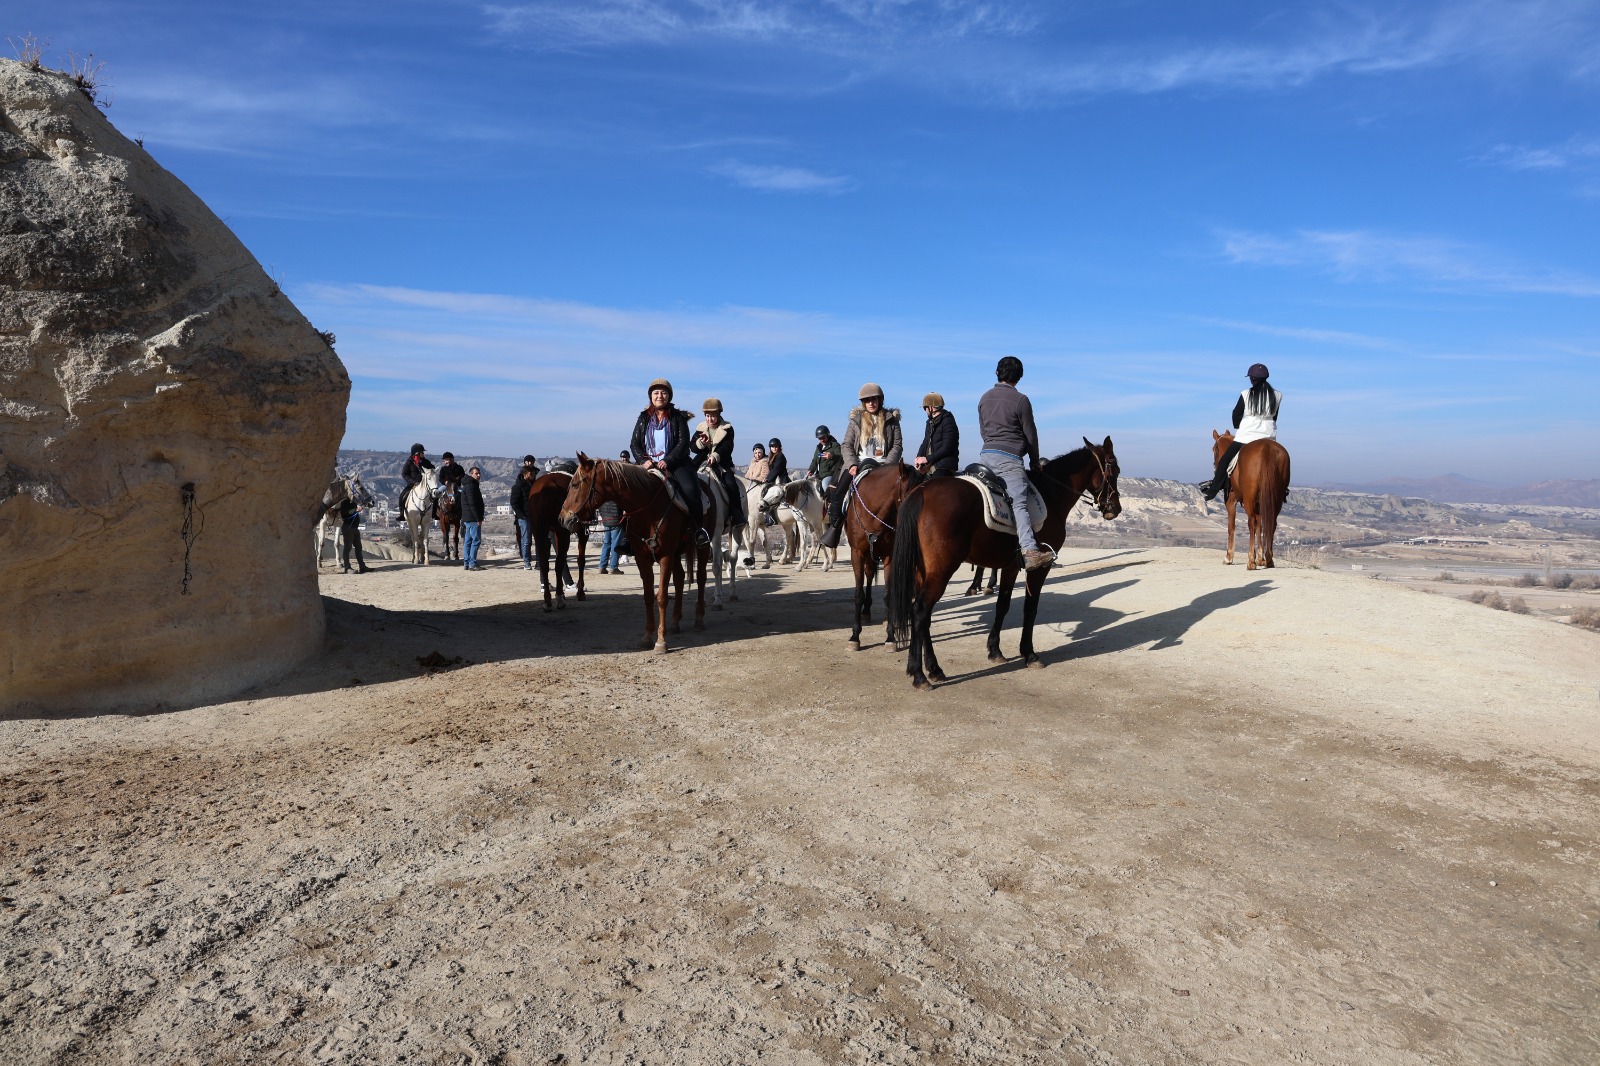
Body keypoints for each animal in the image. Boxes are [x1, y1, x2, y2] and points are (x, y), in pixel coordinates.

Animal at [531, 470, 588, 611]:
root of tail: (547, 486)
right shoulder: (583, 531)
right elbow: (581, 560)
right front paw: (580, 592)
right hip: (563, 532)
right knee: (559, 563)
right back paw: (560, 598)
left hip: (539, 531)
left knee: (544, 563)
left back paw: (547, 600)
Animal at [560, 448, 716, 646]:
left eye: (575, 484)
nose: (563, 518)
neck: (648, 508)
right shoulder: (643, 557)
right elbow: (648, 596)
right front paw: (648, 636)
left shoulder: (665, 555)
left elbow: (662, 596)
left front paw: (661, 641)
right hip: (677, 552)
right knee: (680, 578)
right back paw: (674, 622)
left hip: (701, 547)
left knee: (702, 577)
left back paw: (699, 619)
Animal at [838, 464, 928, 646]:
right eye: (910, 494)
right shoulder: (857, 554)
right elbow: (858, 594)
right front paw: (855, 636)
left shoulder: (889, 556)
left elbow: (888, 595)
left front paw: (891, 636)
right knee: (868, 575)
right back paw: (866, 612)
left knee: (870, 574)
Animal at [889, 435, 1126, 688]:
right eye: (1115, 469)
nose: (1115, 508)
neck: (1051, 493)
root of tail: (921, 492)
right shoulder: (1039, 568)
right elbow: (1030, 608)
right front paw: (1029, 653)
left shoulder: (1011, 566)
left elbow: (1002, 605)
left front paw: (995, 650)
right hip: (941, 570)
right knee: (921, 610)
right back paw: (919, 674)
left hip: (923, 571)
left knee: (922, 615)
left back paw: (933, 668)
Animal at [1209, 428, 1286, 569]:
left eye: (1214, 449)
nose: (1215, 467)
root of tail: (1266, 448)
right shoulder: (1259, 504)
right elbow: (1260, 526)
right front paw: (1261, 558)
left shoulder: (1231, 501)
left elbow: (1231, 527)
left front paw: (1229, 557)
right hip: (1275, 499)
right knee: (1271, 523)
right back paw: (1269, 559)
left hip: (1249, 499)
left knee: (1251, 522)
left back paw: (1251, 560)